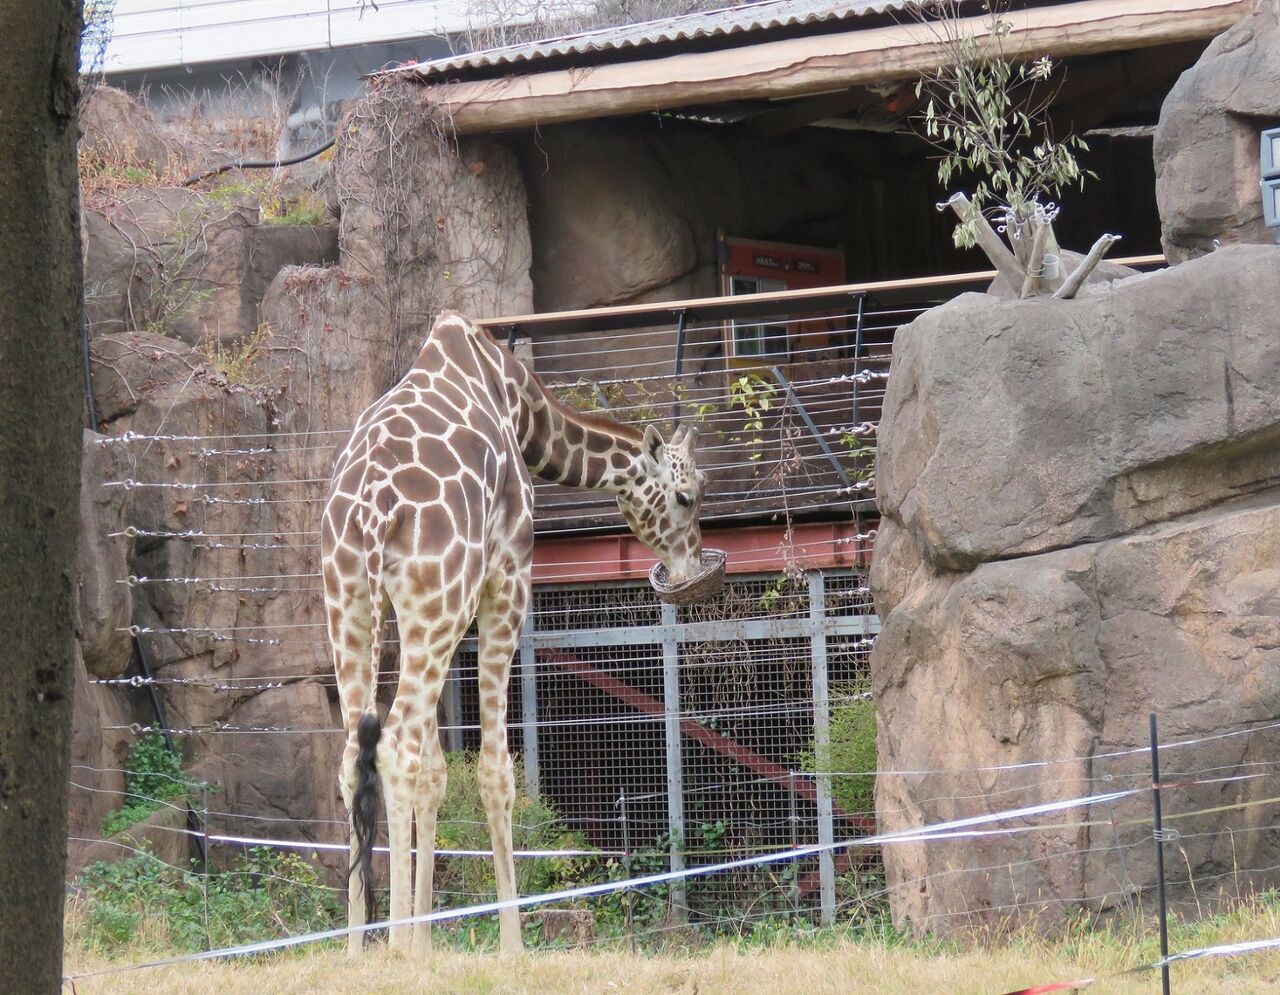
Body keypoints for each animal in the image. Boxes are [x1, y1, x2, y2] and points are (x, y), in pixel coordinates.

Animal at [320, 309, 711, 952]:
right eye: (686, 496)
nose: (690, 571)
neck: (521, 405)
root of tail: (372, 507)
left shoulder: (435, 608)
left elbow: (437, 772)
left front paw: (427, 944)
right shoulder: (505, 580)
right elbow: (495, 769)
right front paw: (510, 945)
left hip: (352, 597)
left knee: (358, 750)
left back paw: (358, 950)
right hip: (434, 600)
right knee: (395, 744)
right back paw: (395, 948)